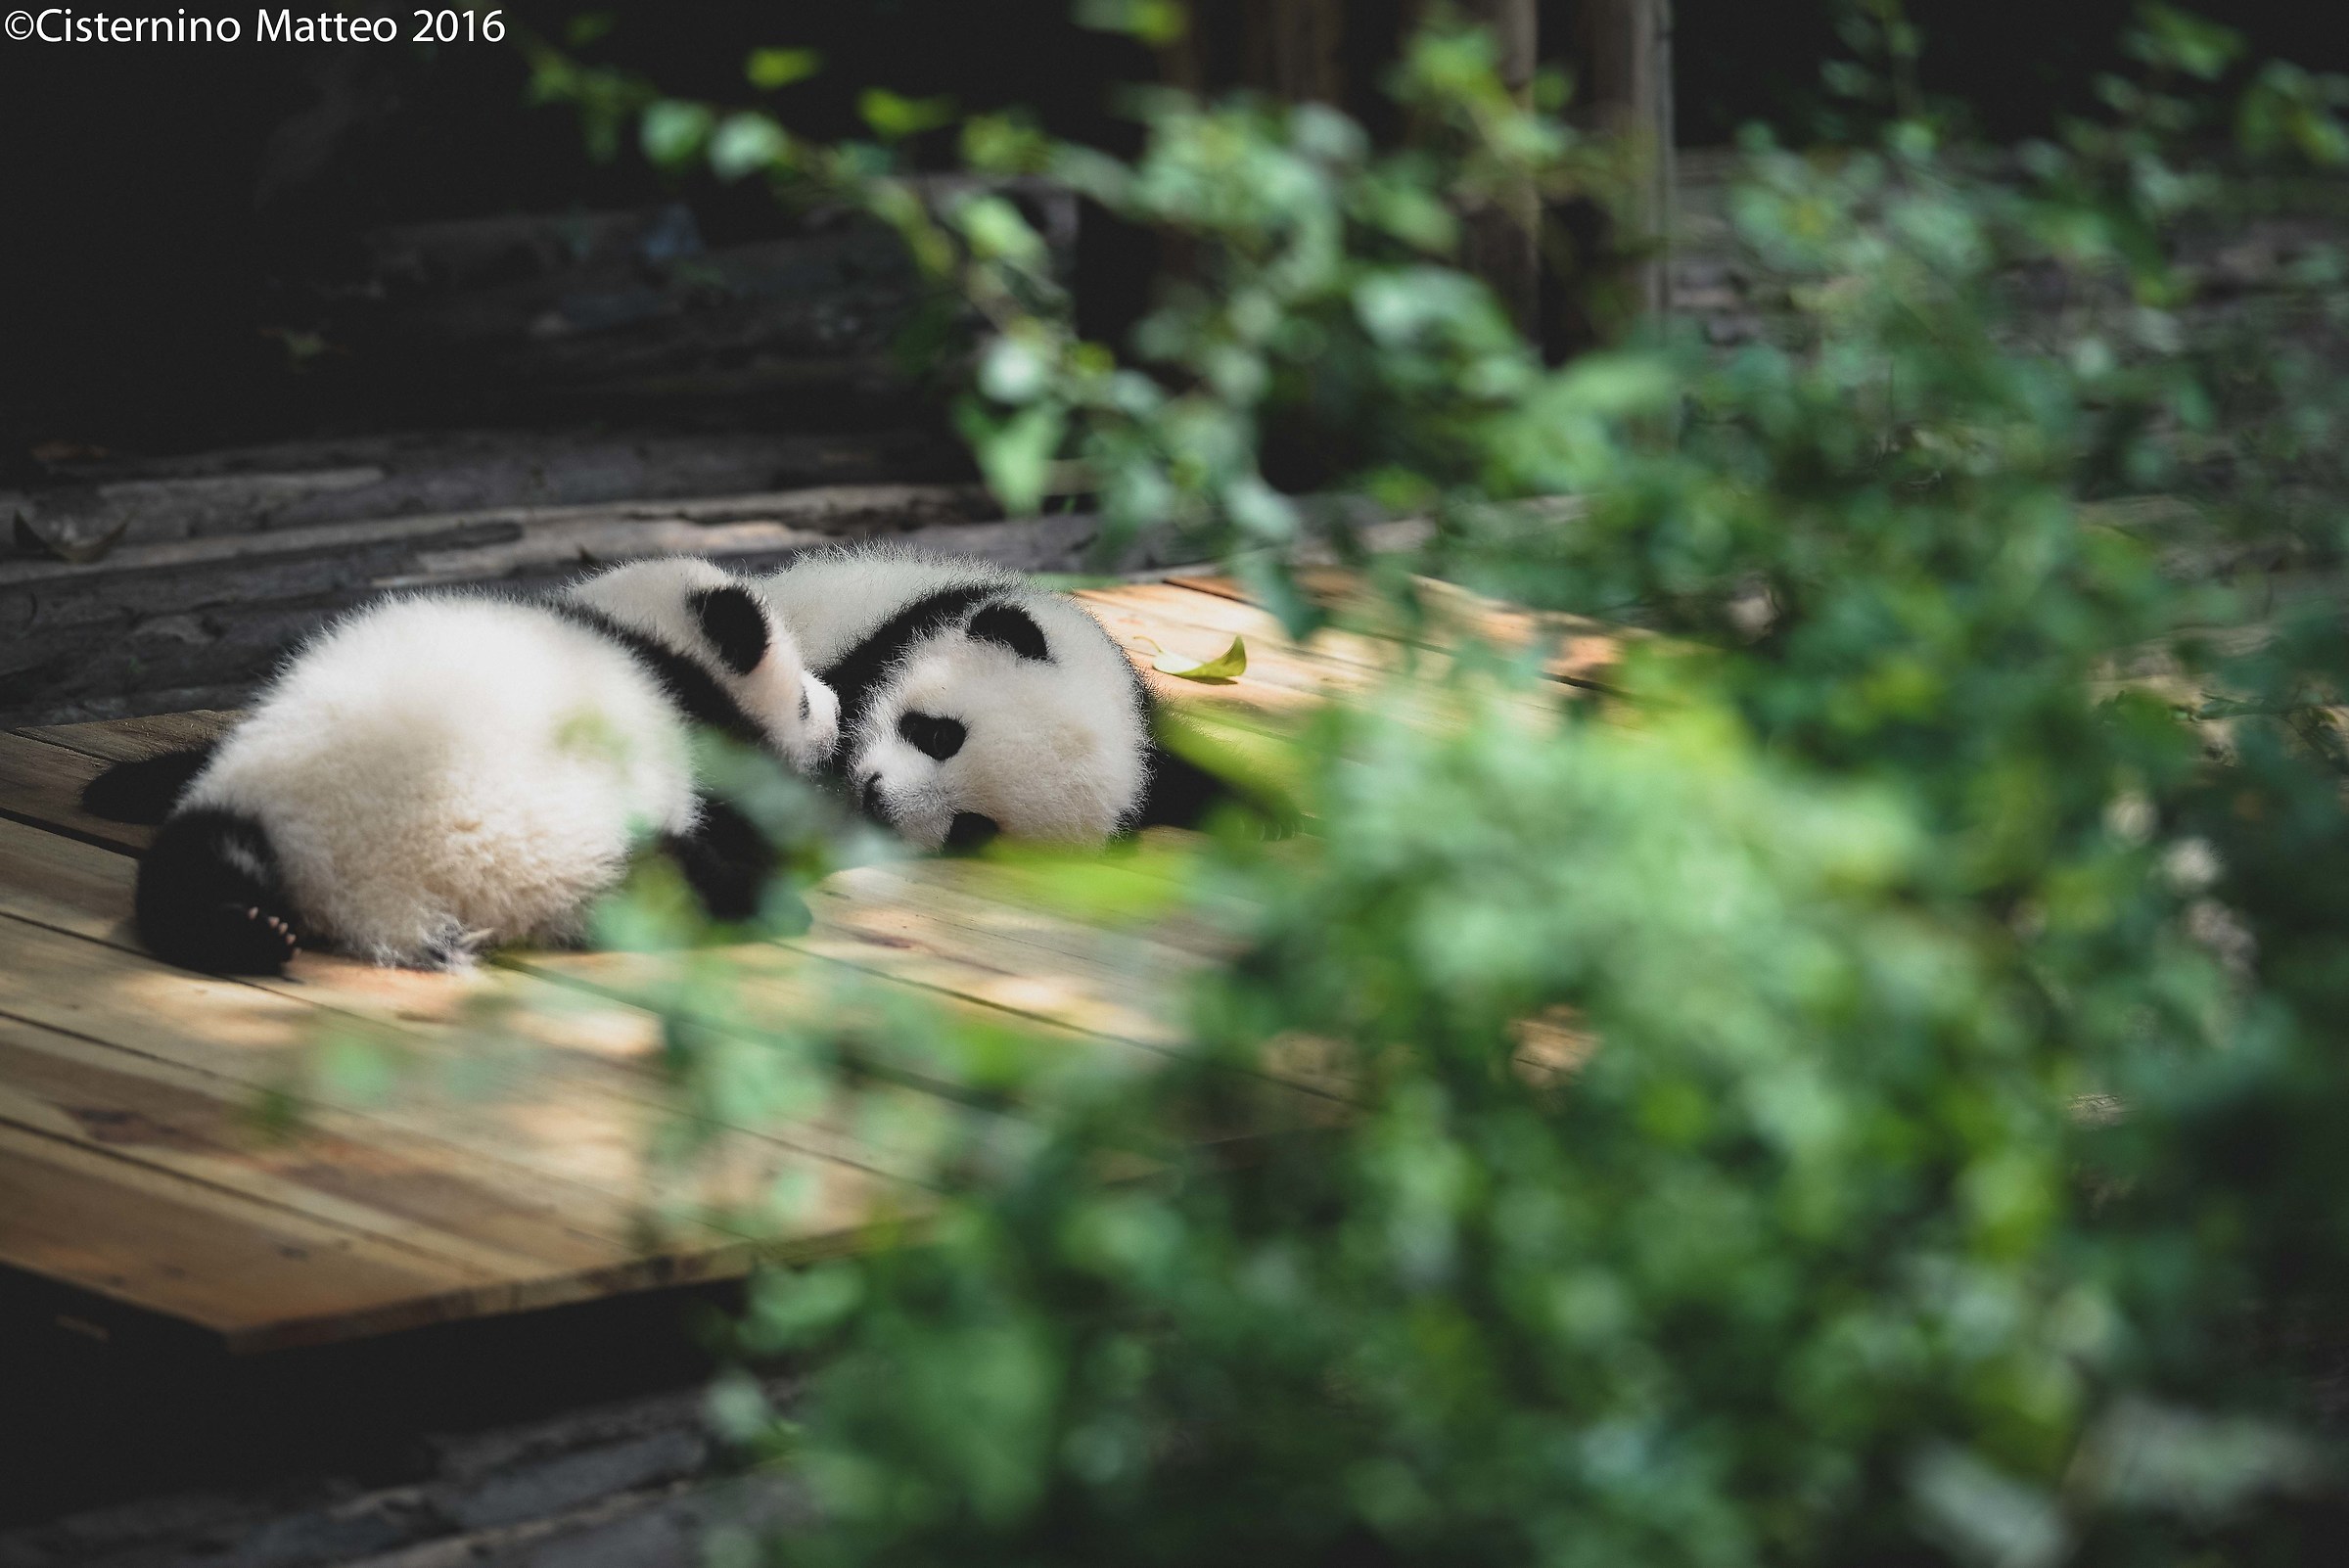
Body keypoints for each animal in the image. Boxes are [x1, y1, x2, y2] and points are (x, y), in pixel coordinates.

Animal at [84, 558, 840, 975]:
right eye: (803, 700)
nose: (834, 708)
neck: (646, 634)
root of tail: (365, 882)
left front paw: (122, 785)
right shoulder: (701, 728)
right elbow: (765, 821)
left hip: (262, 785)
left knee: (188, 865)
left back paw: (239, 927)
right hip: (560, 854)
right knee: (669, 882)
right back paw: (762, 902)